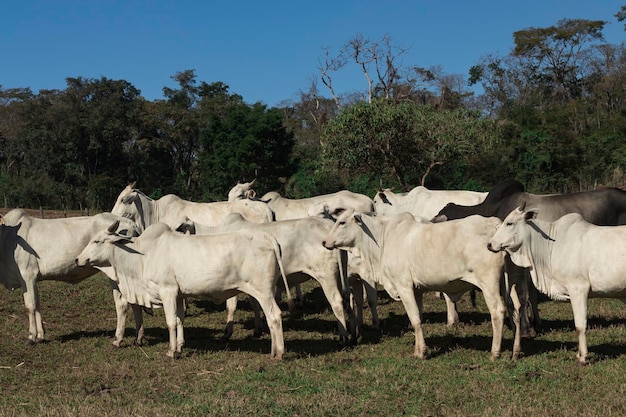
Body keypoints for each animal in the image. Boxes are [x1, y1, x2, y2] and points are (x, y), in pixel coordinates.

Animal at [0, 208, 139, 344]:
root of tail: (131, 224)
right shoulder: (33, 279)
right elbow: (37, 304)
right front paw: (40, 335)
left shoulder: (27, 275)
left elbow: (30, 306)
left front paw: (31, 336)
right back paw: (138, 337)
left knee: (122, 303)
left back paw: (118, 338)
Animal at [75, 219, 288, 360]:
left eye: (97, 241)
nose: (77, 259)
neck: (142, 256)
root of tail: (267, 238)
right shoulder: (178, 295)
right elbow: (179, 319)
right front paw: (179, 346)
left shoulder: (167, 290)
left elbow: (170, 322)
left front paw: (171, 351)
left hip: (263, 292)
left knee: (274, 316)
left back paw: (278, 353)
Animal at [320, 210, 504, 360]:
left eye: (342, 222)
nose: (324, 242)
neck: (382, 238)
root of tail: (491, 222)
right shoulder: (417, 291)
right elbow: (419, 318)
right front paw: (418, 348)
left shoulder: (404, 287)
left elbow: (414, 319)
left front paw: (421, 353)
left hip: (489, 284)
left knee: (498, 311)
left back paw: (495, 352)